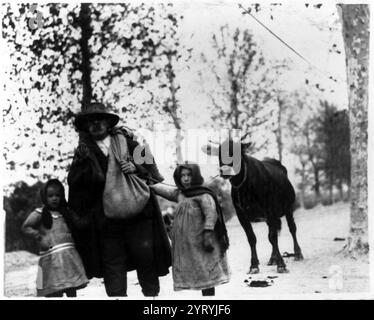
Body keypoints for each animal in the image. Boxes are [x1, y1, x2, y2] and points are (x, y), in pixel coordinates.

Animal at [203, 132, 302, 272]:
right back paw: (273, 258)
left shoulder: (270, 210)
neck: (245, 187)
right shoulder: (242, 215)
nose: (225, 170)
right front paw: (254, 265)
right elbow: (252, 238)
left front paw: (281, 265)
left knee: (292, 228)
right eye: (219, 153)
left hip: (288, 207)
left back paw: (297, 253)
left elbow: (273, 237)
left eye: (238, 151)